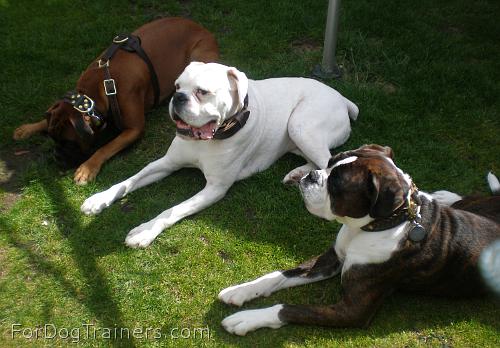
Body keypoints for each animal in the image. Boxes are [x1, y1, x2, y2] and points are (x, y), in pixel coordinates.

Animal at [12, 18, 217, 185]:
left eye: (69, 143)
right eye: (52, 137)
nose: (56, 156)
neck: (98, 88)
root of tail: (201, 27)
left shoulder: (133, 129)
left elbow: (104, 148)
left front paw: (87, 168)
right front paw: (28, 128)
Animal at [80, 62, 358, 247]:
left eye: (202, 92)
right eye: (177, 86)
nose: (177, 97)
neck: (207, 140)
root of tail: (342, 98)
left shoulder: (215, 188)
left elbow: (173, 210)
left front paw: (145, 231)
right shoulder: (166, 163)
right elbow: (128, 182)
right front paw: (99, 199)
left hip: (300, 125)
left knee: (327, 161)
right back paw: (297, 174)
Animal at [219, 144, 500, 334]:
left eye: (336, 186)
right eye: (329, 162)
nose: (311, 175)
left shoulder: (352, 311)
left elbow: (287, 308)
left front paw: (247, 319)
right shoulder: (330, 260)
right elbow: (278, 275)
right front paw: (241, 290)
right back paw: (443, 196)